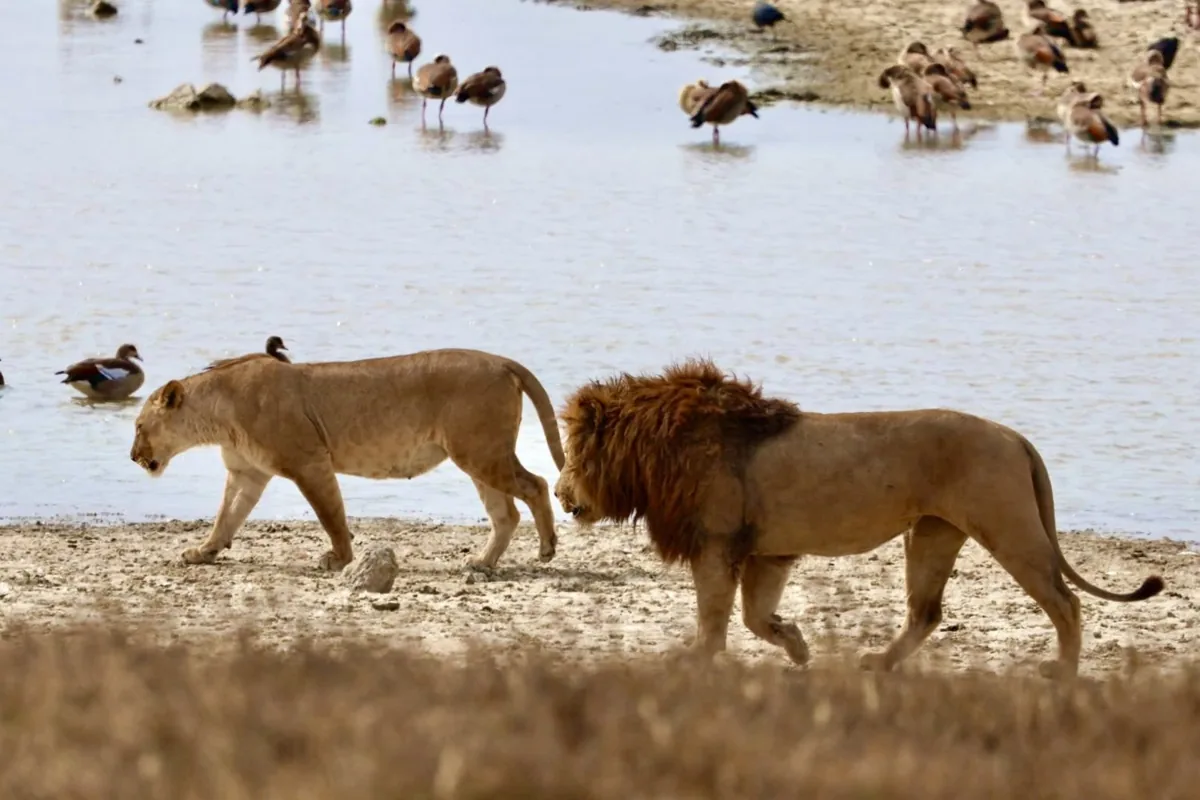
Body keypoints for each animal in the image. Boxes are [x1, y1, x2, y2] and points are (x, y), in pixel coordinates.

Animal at [130, 348, 565, 572]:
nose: (133, 457)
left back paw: (546, 549)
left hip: (480, 451)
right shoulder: (246, 473)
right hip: (478, 456)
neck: (218, 414)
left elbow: (331, 516)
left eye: (137, 425)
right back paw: (481, 562)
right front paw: (203, 552)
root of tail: (500, 359)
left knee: (537, 485)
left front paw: (340, 559)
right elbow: (226, 517)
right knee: (506, 513)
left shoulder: (310, 462)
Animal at [554, 359, 1163, 680]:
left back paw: (1062, 670)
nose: (560, 494)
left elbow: (714, 618)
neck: (655, 448)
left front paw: (694, 658)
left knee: (1066, 600)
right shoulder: (767, 551)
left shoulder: (716, 543)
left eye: (575, 453)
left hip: (1007, 528)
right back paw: (878, 663)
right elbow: (754, 616)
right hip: (932, 534)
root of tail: (1017, 437)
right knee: (927, 612)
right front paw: (798, 646)